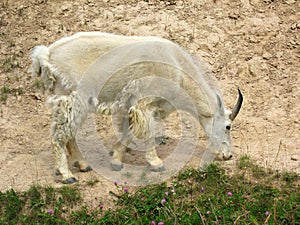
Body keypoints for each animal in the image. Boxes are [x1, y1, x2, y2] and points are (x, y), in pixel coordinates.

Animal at [30, 31, 243, 183]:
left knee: (69, 133)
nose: (228, 155)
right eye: (228, 126)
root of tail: (47, 54)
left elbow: (129, 132)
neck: (179, 71)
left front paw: (116, 159)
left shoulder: (131, 106)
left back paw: (82, 164)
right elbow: (147, 132)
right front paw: (156, 163)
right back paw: (67, 175)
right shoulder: (145, 104)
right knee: (60, 134)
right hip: (72, 97)